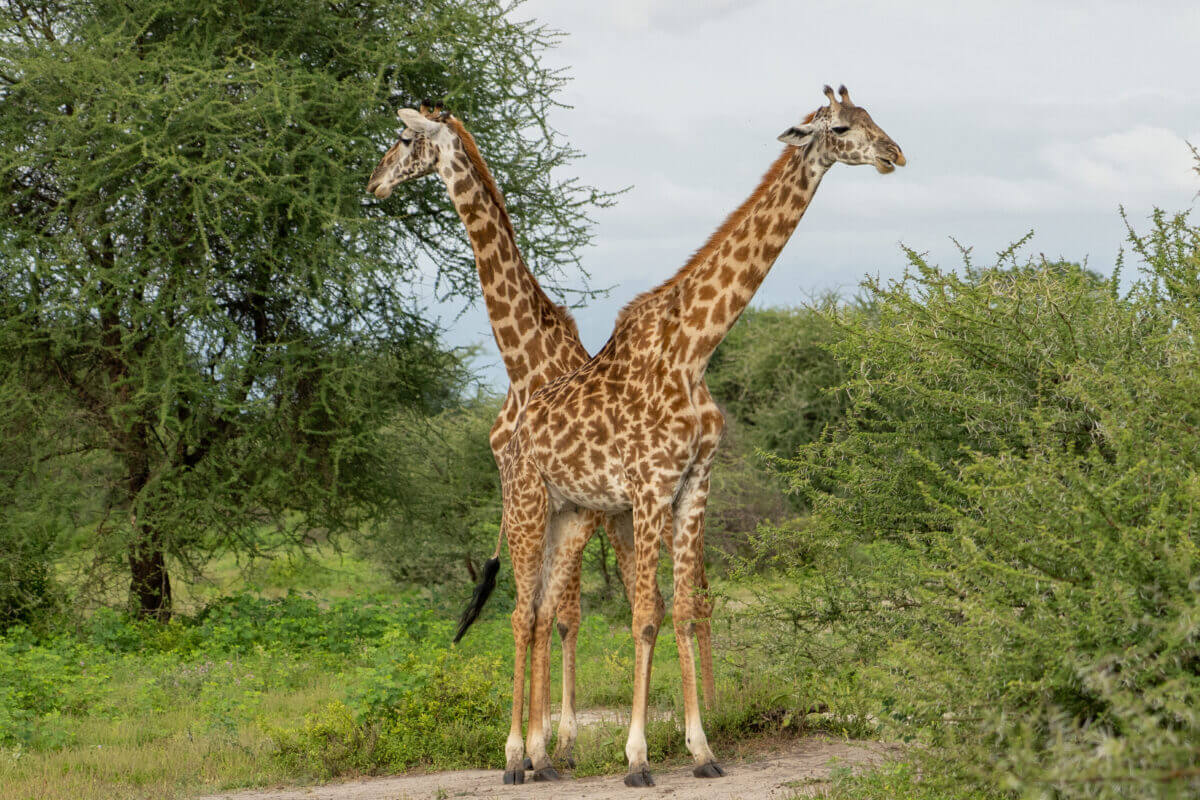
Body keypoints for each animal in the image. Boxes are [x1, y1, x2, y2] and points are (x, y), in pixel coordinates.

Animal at [365, 106, 719, 772]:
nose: (374, 182)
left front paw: (548, 746)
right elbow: (542, 614)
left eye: (403, 138)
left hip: (633, 512)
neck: (523, 362)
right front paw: (544, 746)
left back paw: (707, 715)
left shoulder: (563, 507)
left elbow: (559, 615)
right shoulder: (539, 498)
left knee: (683, 598)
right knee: (674, 598)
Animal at [479, 85, 905, 786]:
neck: (694, 349)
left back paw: (540, 757)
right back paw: (515, 759)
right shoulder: (650, 487)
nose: (895, 153)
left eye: (874, 117)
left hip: (569, 512)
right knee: (519, 613)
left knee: (540, 611)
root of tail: (511, 436)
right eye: (843, 128)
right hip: (525, 503)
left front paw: (703, 750)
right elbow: (645, 615)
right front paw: (637, 758)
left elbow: (682, 609)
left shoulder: (694, 484)